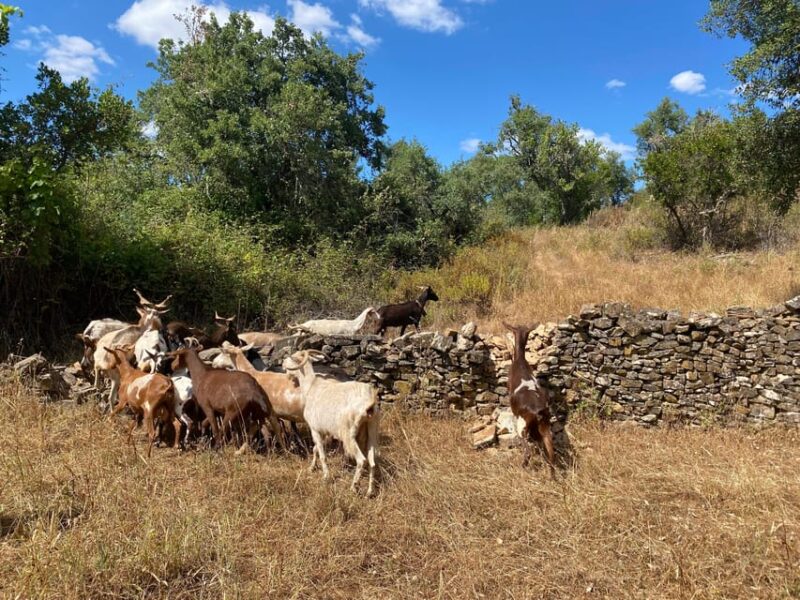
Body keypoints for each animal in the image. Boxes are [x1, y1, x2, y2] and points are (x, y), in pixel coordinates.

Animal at [283, 349, 380, 496]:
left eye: (293, 357)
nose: (283, 365)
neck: (311, 386)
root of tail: (369, 402)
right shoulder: (324, 431)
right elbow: (316, 448)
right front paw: (312, 467)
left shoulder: (315, 429)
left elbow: (322, 454)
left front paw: (326, 476)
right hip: (371, 431)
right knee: (372, 462)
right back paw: (369, 492)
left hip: (349, 434)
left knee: (361, 460)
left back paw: (354, 487)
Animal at [503, 322, 555, 476]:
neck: (520, 360)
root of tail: (538, 412)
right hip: (545, 428)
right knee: (551, 453)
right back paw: (552, 476)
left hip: (522, 426)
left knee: (527, 452)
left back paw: (522, 467)